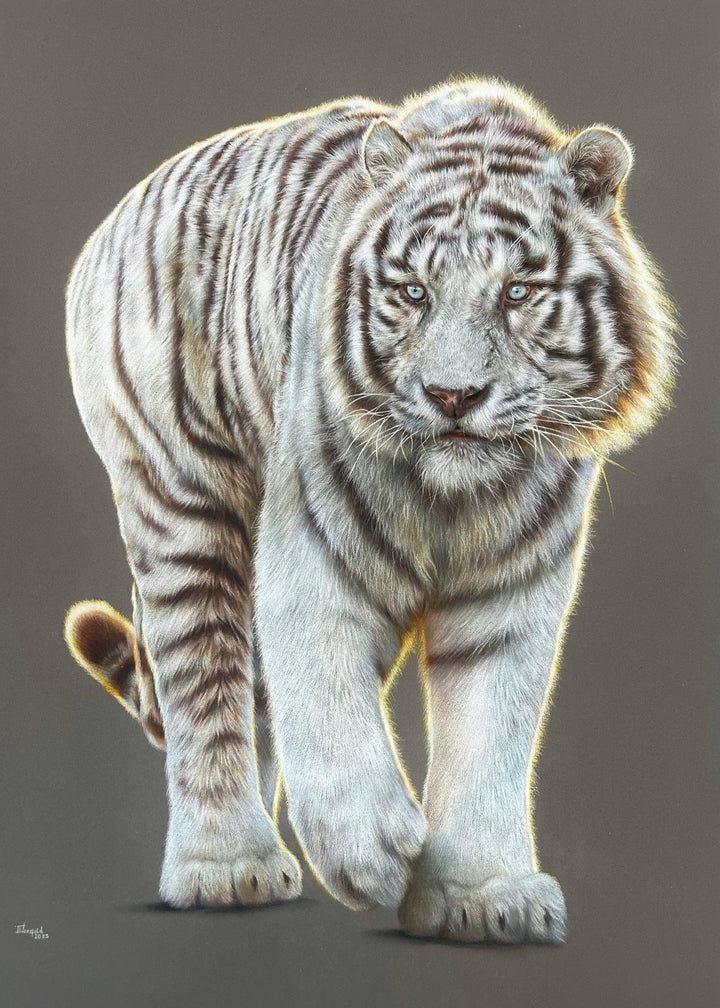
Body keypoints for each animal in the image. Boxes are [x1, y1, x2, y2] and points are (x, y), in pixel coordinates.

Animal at [63, 75, 677, 943]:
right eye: (413, 292)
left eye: (519, 292)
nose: (454, 395)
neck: (456, 496)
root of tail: (121, 213)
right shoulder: (316, 560)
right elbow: (327, 697)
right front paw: (370, 849)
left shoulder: (511, 596)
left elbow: (492, 732)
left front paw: (484, 894)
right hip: (182, 506)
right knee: (204, 682)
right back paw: (227, 867)